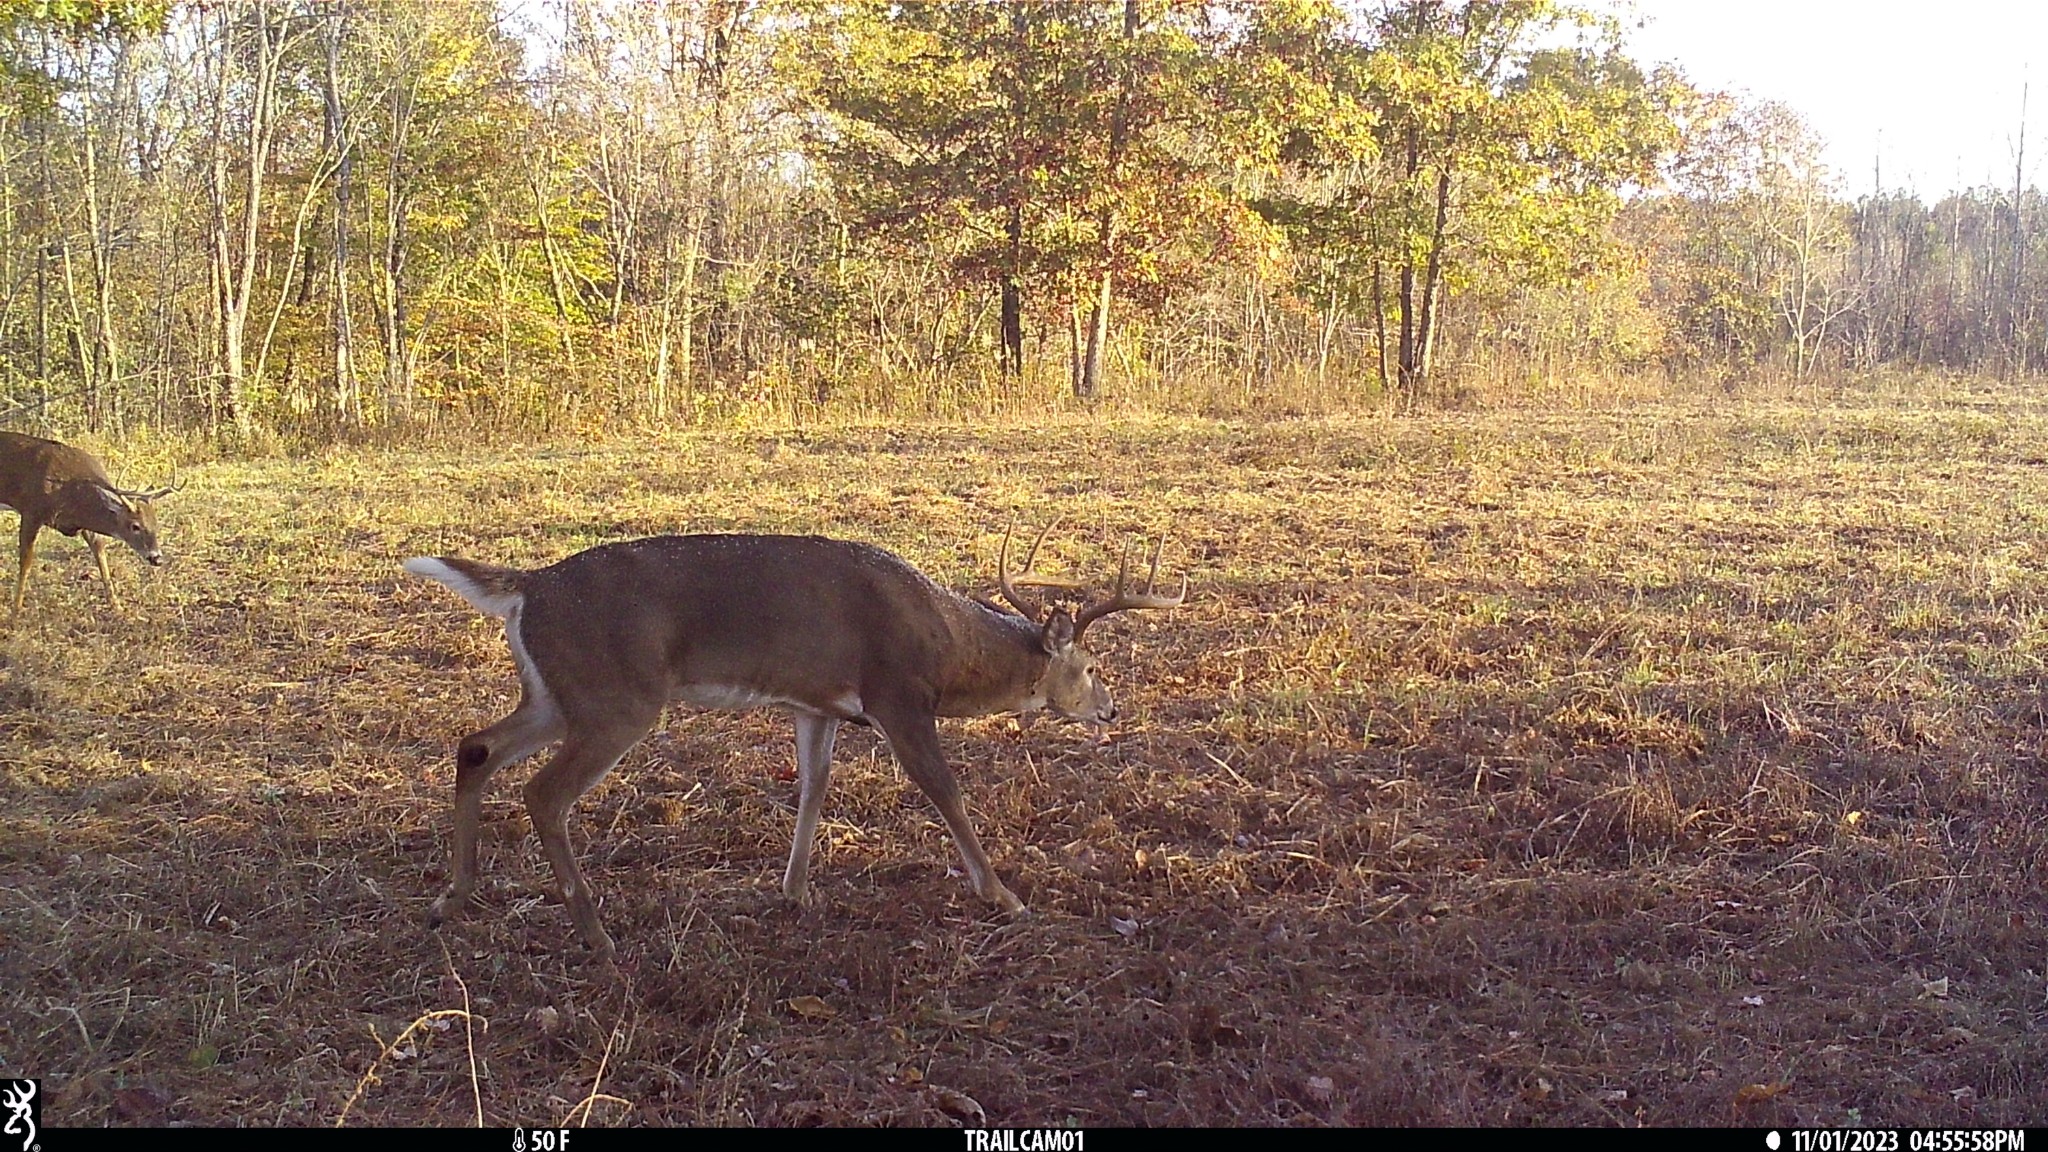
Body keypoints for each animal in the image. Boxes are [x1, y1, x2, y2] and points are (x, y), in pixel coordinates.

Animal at [0, 428, 173, 619]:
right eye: (135, 526)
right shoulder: (31, 510)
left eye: (156, 525)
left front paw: (117, 606)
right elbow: (26, 561)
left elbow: (100, 552)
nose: (157, 558)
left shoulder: (84, 526)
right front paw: (15, 610)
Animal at [403, 524, 1187, 955]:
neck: (948, 647)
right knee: (544, 793)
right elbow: (944, 790)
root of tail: (527, 587)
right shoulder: (898, 694)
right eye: (1092, 666)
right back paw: (594, 932)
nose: (1110, 710)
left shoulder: (818, 706)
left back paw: (453, 900)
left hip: (556, 696)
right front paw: (1002, 894)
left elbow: (813, 788)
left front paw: (796, 890)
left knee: (475, 746)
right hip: (615, 698)